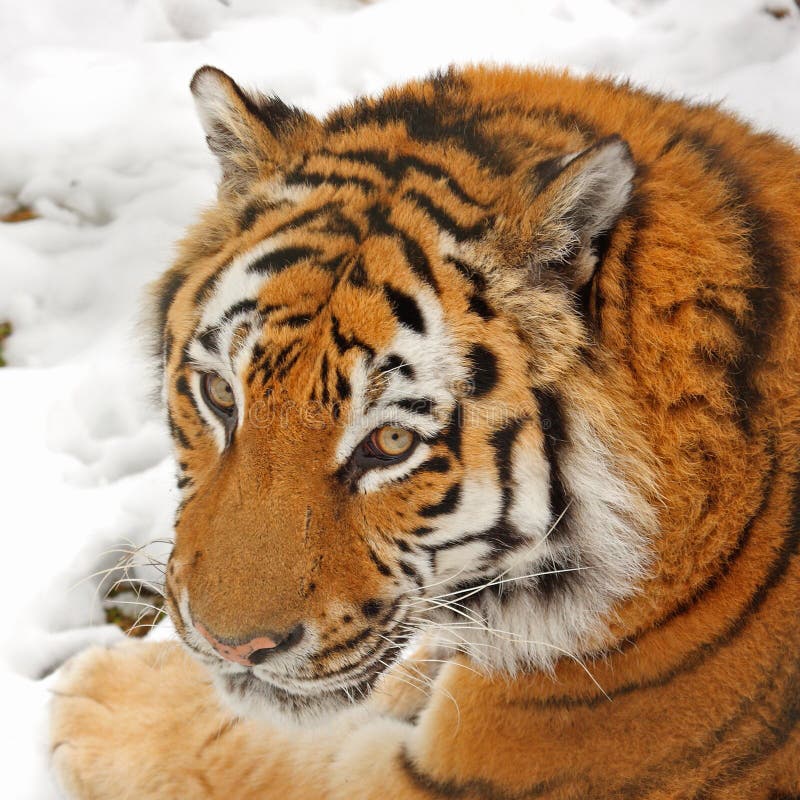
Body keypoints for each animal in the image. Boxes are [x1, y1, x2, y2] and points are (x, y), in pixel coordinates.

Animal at [50, 64, 800, 800]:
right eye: (219, 395)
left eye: (392, 444)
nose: (231, 647)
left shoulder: (456, 777)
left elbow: (275, 757)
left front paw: (106, 698)